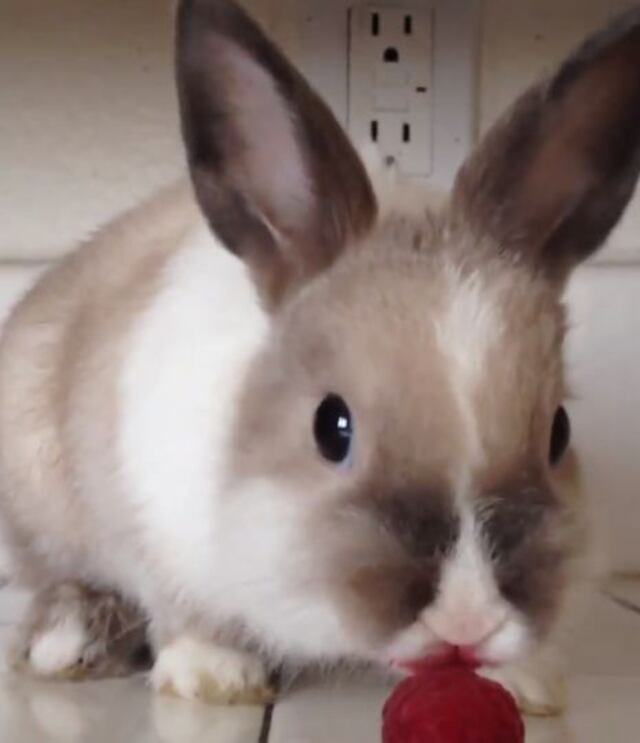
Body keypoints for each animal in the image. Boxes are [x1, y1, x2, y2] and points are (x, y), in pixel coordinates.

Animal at [1, 0, 640, 711]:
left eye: (559, 433)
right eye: (332, 428)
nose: (468, 620)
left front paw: (525, 680)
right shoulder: (155, 527)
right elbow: (185, 612)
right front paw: (215, 675)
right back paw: (68, 641)